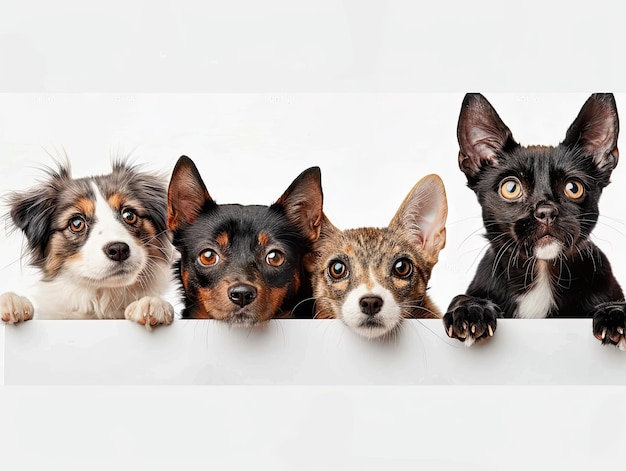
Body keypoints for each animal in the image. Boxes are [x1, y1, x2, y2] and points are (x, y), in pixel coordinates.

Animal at [442, 93, 624, 350]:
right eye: (510, 188)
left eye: (573, 188)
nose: (546, 211)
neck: (542, 269)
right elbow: (462, 297)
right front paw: (470, 311)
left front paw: (615, 313)